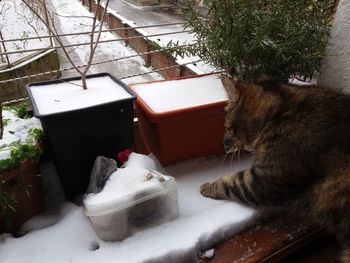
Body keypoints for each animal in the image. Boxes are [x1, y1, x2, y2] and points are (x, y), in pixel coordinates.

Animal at [201, 75, 350, 262]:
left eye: (227, 127)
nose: (224, 143)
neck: (279, 115)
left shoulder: (263, 180)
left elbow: (229, 181)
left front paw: (207, 187)